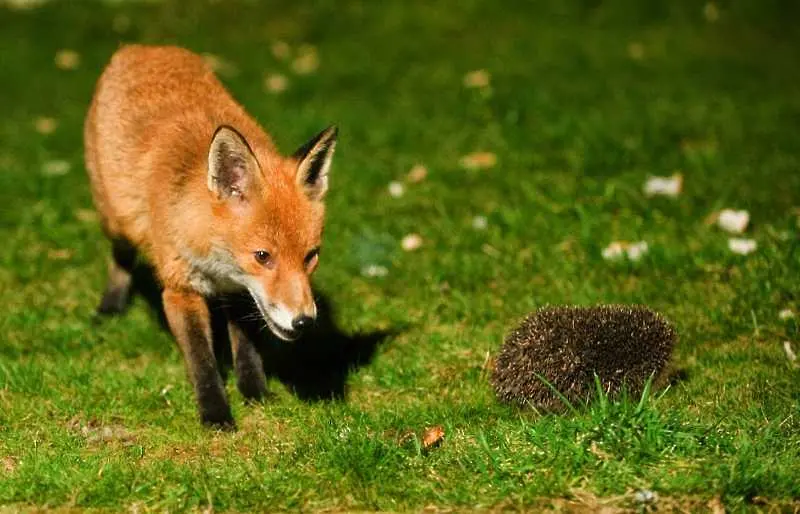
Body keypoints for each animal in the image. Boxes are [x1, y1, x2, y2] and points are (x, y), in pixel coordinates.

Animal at [84, 45, 338, 428]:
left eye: (311, 256)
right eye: (263, 256)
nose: (304, 321)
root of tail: (142, 47)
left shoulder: (240, 291)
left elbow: (247, 346)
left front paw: (255, 392)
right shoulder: (180, 290)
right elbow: (201, 360)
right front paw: (215, 414)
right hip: (115, 218)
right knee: (121, 255)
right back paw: (111, 305)